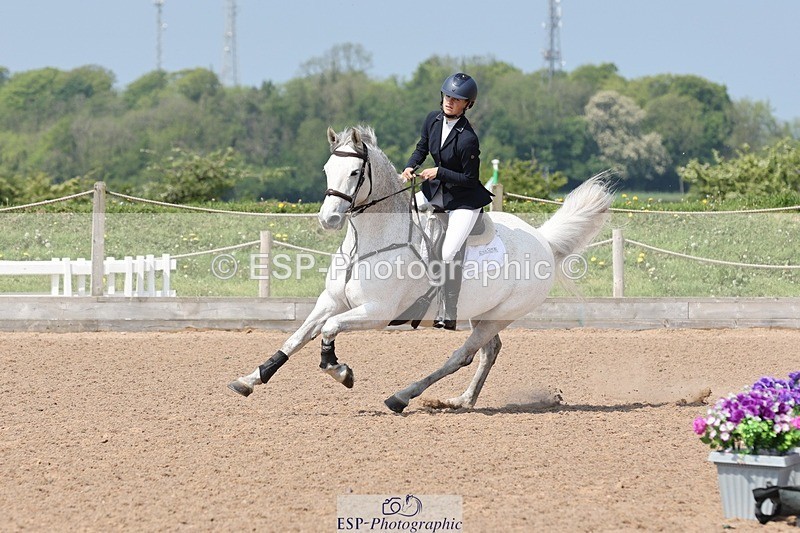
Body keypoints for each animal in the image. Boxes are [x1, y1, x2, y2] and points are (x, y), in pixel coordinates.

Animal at [228, 125, 613, 413]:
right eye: (326, 170)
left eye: (354, 172)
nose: (329, 220)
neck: (368, 243)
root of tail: (543, 240)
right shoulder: (331, 300)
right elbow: (297, 337)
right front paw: (250, 379)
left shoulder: (377, 312)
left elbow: (328, 329)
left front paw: (339, 370)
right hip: (483, 313)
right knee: (488, 351)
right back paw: (460, 401)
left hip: (500, 315)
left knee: (462, 355)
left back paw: (402, 397)